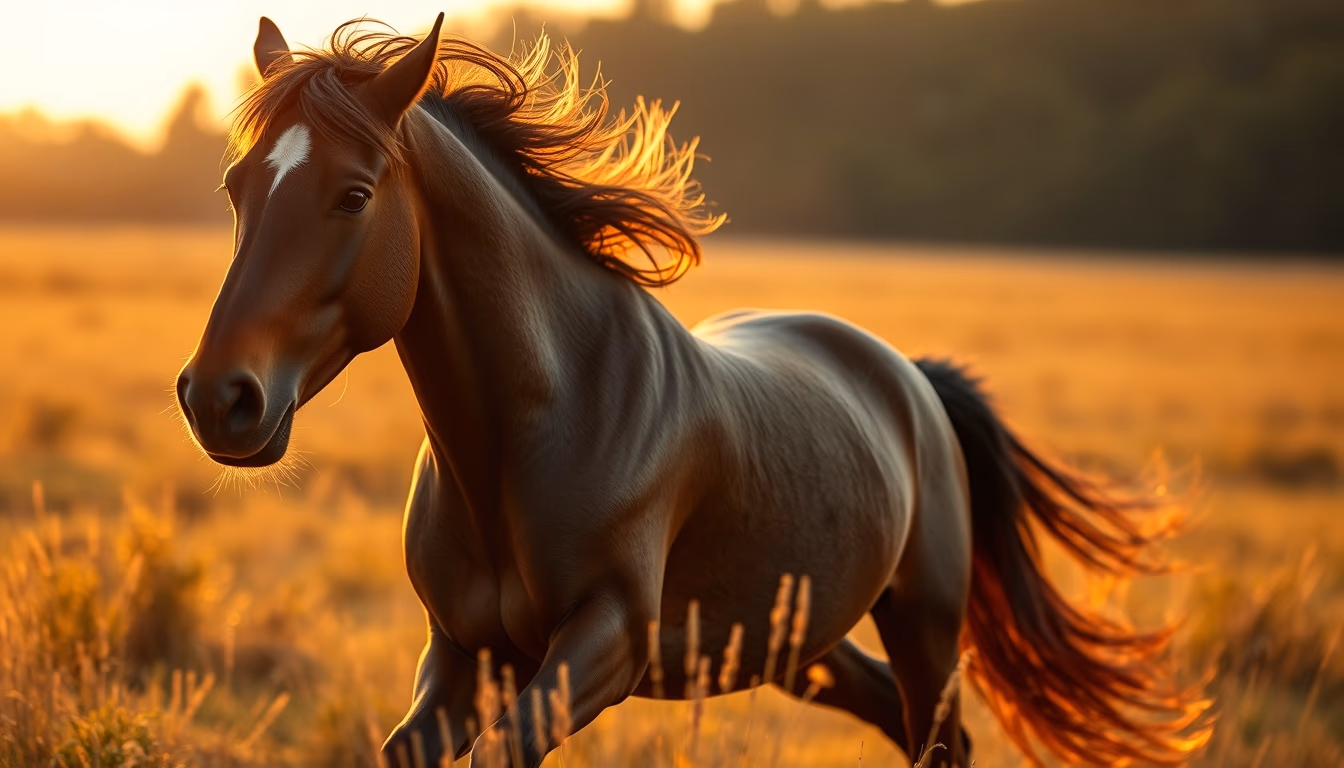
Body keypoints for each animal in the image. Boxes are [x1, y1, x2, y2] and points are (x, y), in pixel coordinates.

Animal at [175, 14, 1209, 767]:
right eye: (233, 188)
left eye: (353, 195)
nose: (219, 398)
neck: (543, 422)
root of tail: (911, 377)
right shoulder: (462, 654)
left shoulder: (606, 643)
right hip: (802, 644)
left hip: (925, 622)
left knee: (939, 739)